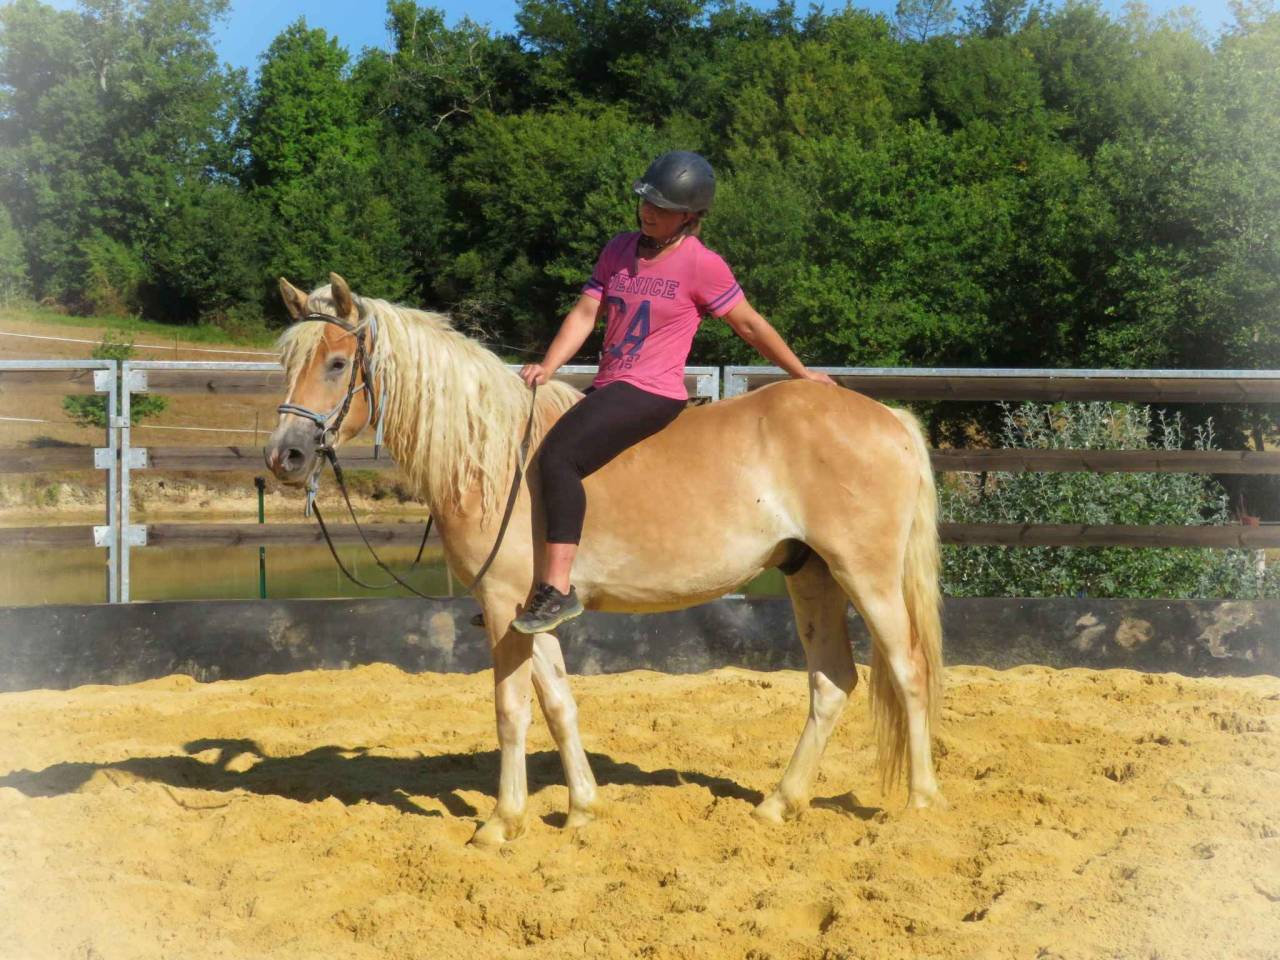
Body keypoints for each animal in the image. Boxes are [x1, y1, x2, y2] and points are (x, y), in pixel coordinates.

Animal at [265, 273, 945, 846]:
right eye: (287, 365)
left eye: (337, 363)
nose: (285, 456)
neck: (491, 456)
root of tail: (888, 418)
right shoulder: (531, 611)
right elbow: (559, 704)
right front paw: (582, 808)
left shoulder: (502, 604)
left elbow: (510, 711)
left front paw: (502, 821)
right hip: (812, 575)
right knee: (833, 682)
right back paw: (780, 802)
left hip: (867, 575)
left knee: (908, 670)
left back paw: (920, 802)